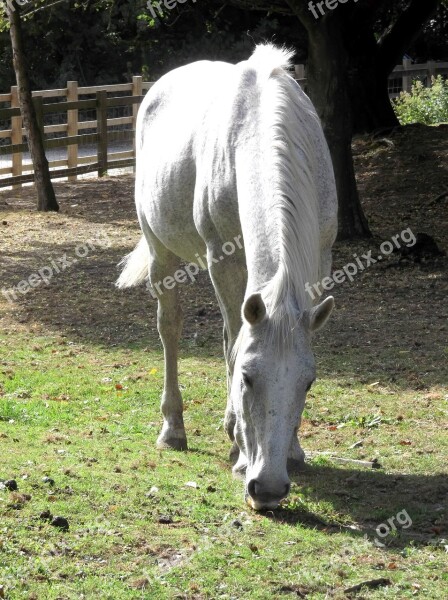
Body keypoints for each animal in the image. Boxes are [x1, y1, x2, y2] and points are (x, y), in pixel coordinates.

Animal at [117, 43, 338, 510]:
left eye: (309, 383)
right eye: (247, 378)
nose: (268, 489)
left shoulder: (322, 258)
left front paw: (293, 450)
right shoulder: (223, 259)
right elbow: (235, 341)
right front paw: (240, 450)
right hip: (162, 251)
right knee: (171, 327)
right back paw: (174, 429)